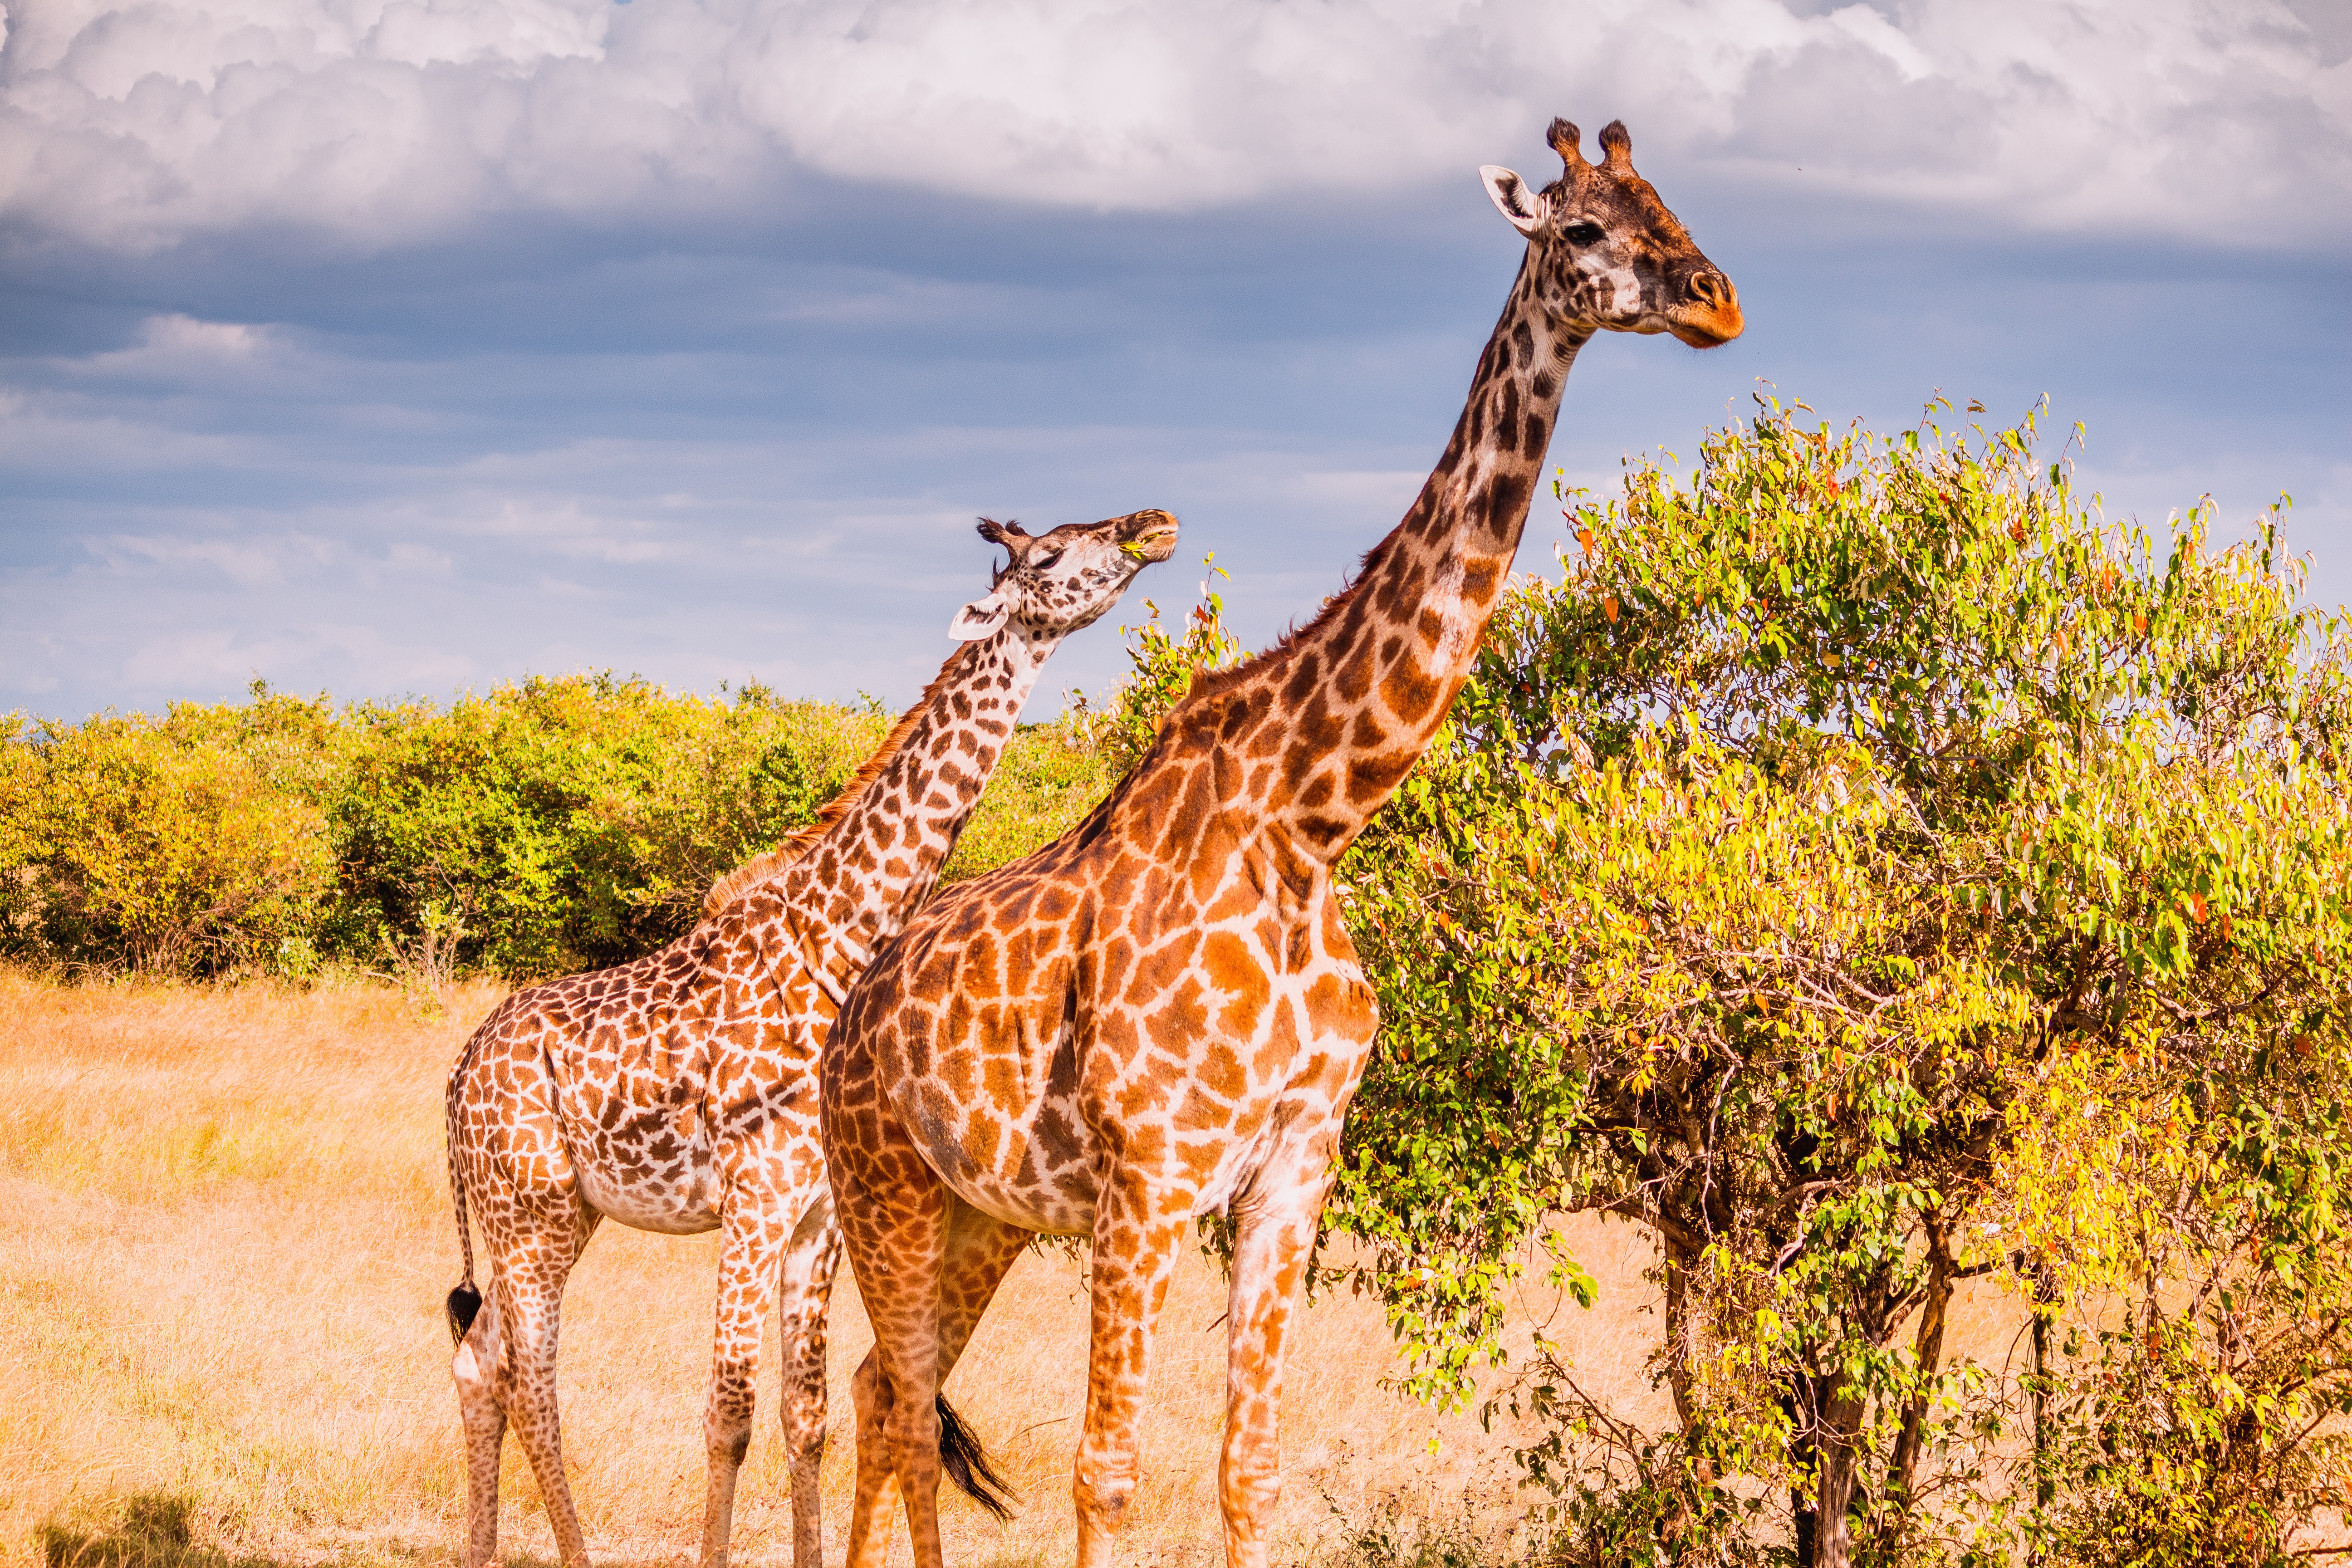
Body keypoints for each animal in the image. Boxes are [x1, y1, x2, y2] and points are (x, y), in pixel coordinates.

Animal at [440, 507, 1180, 1568]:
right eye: (1047, 553)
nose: (1150, 528)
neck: (838, 938)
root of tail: (457, 1074)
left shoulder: (816, 1217)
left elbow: (806, 1415)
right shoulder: (752, 1200)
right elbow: (728, 1412)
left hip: (553, 1215)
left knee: (481, 1360)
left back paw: (483, 1550)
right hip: (528, 1212)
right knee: (528, 1377)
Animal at [819, 118, 1742, 1568]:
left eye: (1666, 198)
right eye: (1586, 227)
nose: (1716, 299)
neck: (1312, 820)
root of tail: (849, 1011)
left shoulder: (1296, 1165)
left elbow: (1247, 1465)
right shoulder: (1150, 1175)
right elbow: (1106, 1472)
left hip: (984, 1213)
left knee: (880, 1389)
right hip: (883, 1186)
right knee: (901, 1399)